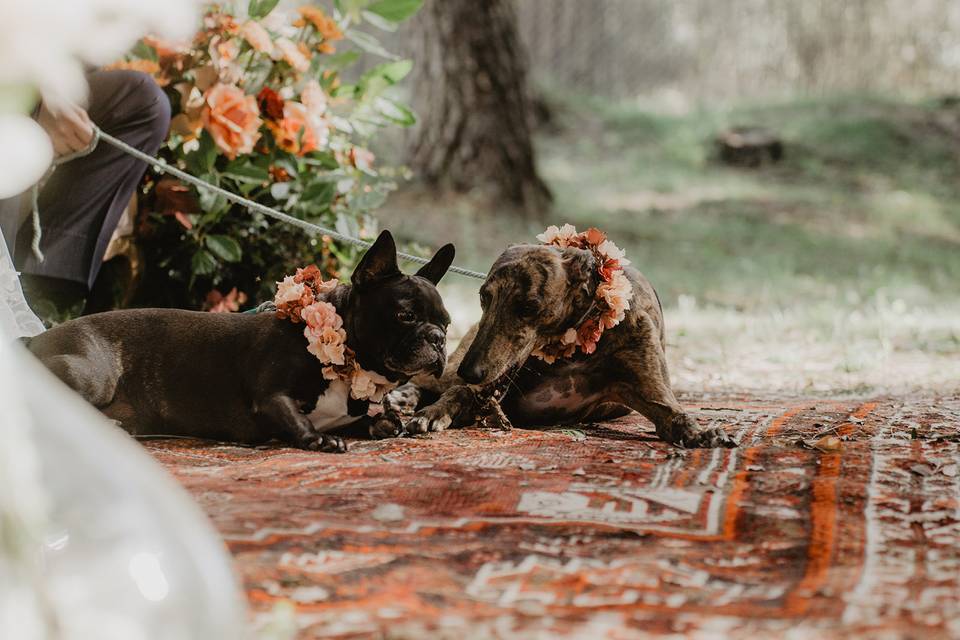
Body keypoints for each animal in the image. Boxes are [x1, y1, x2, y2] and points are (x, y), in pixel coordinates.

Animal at [26, 230, 454, 450]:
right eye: (406, 315)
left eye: (447, 324)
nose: (437, 340)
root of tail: (32, 341)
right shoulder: (271, 397)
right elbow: (294, 416)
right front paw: (317, 439)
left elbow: (376, 421)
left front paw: (387, 422)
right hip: (93, 375)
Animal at [390, 242, 736, 448]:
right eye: (483, 297)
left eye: (528, 307)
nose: (471, 371)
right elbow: (460, 393)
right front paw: (433, 413)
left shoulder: (653, 393)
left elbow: (676, 416)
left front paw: (703, 431)